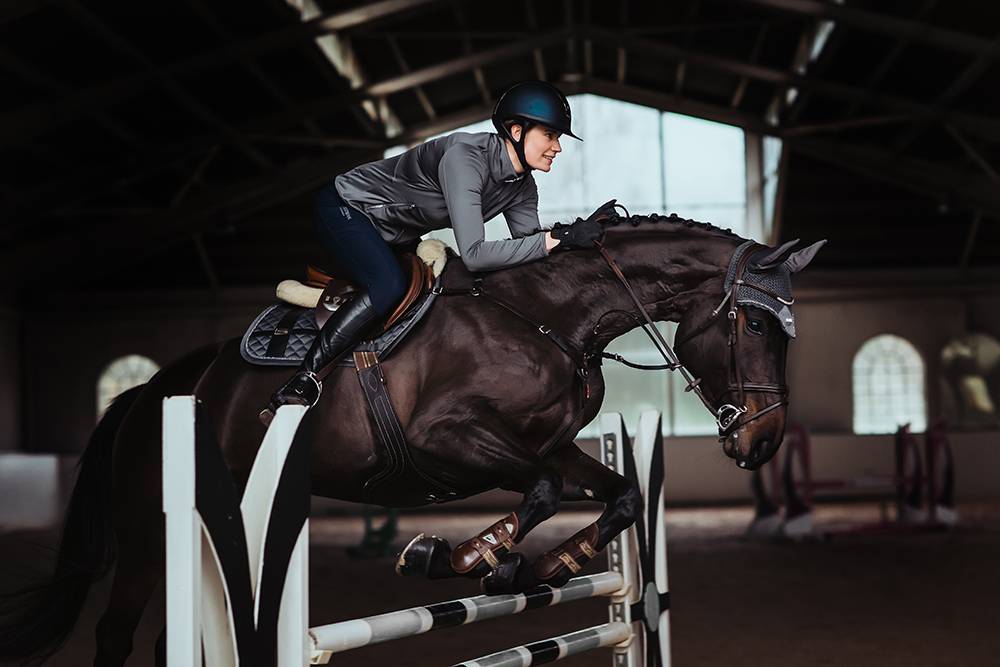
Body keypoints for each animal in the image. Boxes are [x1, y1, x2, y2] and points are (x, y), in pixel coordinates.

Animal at [0, 211, 820, 664]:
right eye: (754, 324)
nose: (763, 442)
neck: (548, 315)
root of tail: (151, 392)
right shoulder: (444, 438)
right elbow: (544, 489)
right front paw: (454, 555)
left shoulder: (546, 443)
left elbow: (612, 494)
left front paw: (541, 564)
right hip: (149, 532)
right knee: (114, 632)